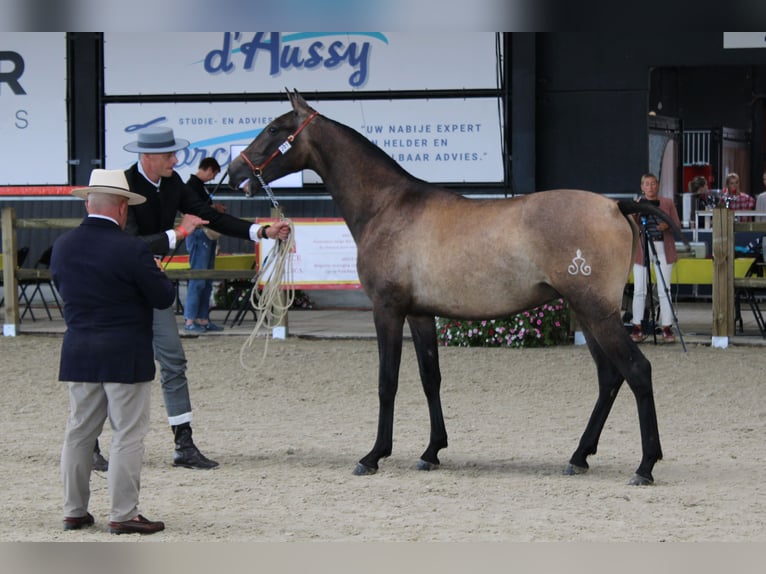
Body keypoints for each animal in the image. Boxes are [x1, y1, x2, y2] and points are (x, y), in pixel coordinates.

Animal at [228, 90, 680, 486]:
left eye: (274, 127)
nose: (234, 174)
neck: (387, 205)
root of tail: (614, 205)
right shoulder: (420, 313)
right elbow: (431, 378)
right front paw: (431, 452)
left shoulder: (387, 310)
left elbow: (387, 381)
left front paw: (373, 455)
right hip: (585, 312)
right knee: (609, 377)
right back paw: (579, 456)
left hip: (597, 312)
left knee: (636, 371)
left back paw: (645, 466)